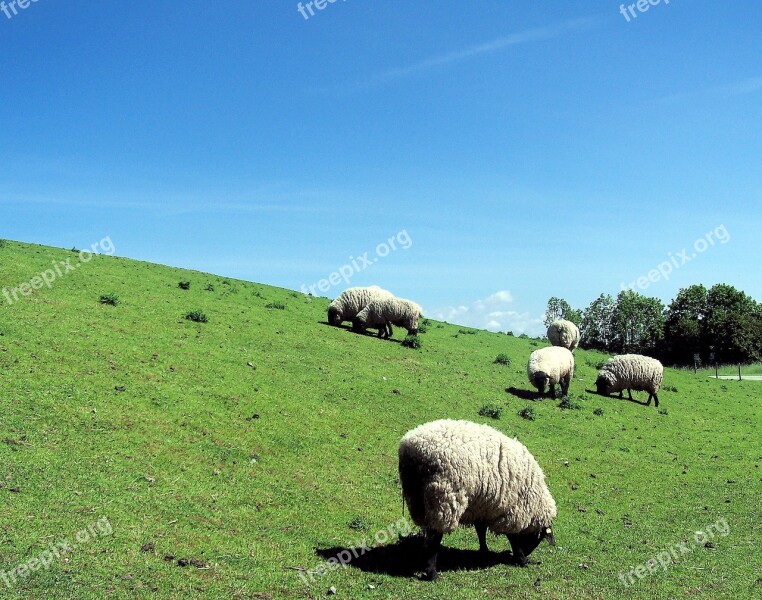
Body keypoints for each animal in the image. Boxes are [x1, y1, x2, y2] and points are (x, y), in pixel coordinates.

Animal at [398, 420, 560, 580]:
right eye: (539, 538)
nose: (526, 553)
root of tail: (411, 445)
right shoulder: (512, 510)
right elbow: (512, 537)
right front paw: (521, 559)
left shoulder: (482, 506)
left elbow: (481, 531)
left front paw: (484, 551)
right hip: (444, 496)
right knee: (434, 537)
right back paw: (432, 573)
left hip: (416, 498)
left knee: (427, 532)